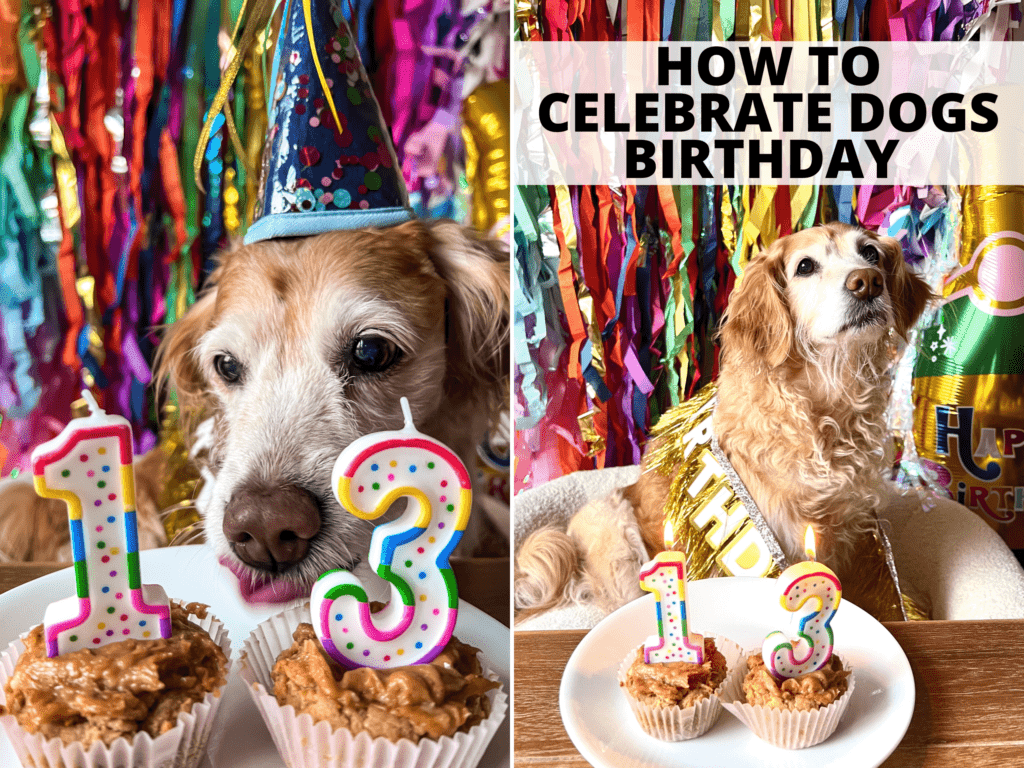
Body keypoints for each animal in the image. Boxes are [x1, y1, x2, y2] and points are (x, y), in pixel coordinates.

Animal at [520, 222, 937, 626]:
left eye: (870, 253)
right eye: (805, 266)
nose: (867, 281)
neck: (825, 408)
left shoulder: (854, 532)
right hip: (611, 529)